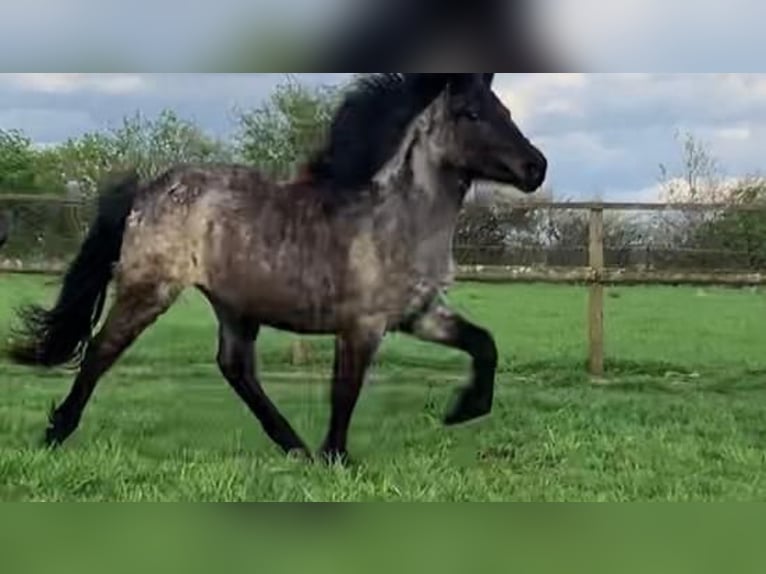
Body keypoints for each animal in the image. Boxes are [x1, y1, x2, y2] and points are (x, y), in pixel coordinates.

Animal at [7, 74, 544, 466]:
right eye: (470, 113)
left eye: (505, 110)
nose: (536, 167)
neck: (396, 219)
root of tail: (145, 191)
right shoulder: (363, 325)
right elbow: (345, 391)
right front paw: (337, 459)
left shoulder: (420, 314)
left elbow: (484, 345)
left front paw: (462, 410)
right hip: (150, 290)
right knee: (101, 351)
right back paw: (55, 434)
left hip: (233, 305)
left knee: (235, 368)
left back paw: (294, 447)